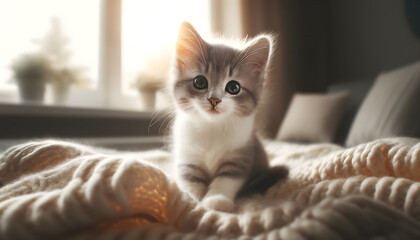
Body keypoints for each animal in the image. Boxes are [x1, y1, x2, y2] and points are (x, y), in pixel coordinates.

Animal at [169, 21, 288, 211]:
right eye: (200, 82)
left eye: (234, 87)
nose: (214, 99)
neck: (212, 126)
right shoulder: (187, 157)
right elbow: (189, 180)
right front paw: (190, 199)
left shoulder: (240, 154)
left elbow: (226, 179)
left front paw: (216, 199)